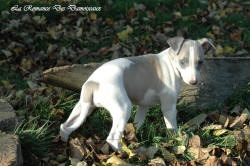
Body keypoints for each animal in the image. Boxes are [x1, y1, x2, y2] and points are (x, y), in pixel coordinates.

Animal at [59, 37, 215, 151]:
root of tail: (92, 84)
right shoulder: (169, 106)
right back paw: (124, 154)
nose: (194, 82)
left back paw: (66, 144)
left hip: (82, 107)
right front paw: (177, 140)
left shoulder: (143, 105)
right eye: (183, 62)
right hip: (123, 108)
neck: (171, 63)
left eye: (200, 62)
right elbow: (172, 127)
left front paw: (136, 136)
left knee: (65, 126)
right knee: (112, 138)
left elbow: (138, 122)